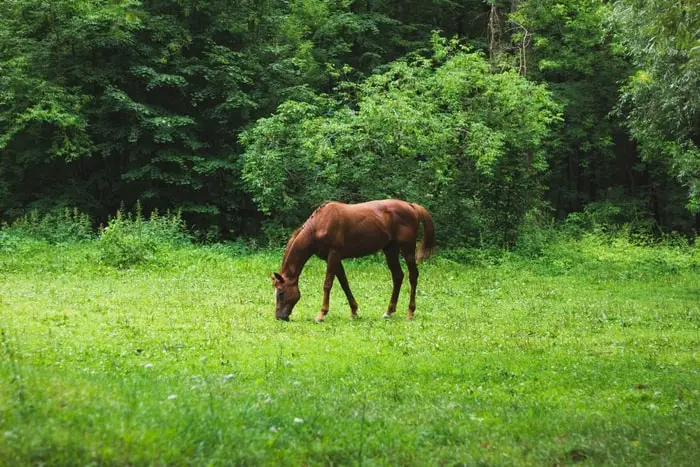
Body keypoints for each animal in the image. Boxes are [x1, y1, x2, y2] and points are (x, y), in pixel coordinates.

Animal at [270, 199, 434, 324]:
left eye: (281, 293)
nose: (279, 317)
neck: (318, 225)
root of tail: (412, 206)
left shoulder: (334, 255)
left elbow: (327, 285)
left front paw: (321, 314)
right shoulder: (334, 259)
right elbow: (344, 283)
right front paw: (354, 311)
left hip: (407, 249)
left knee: (413, 276)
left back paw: (410, 312)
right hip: (390, 250)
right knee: (398, 276)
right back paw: (388, 311)